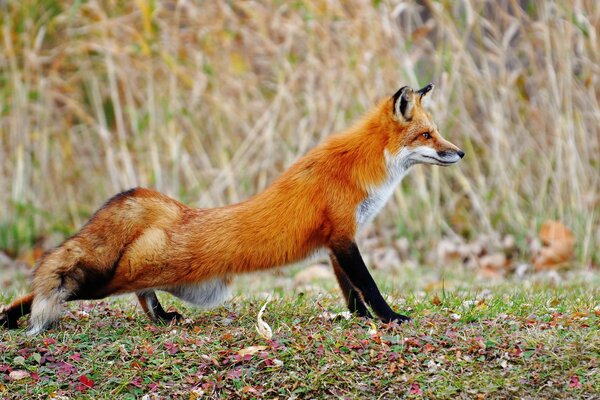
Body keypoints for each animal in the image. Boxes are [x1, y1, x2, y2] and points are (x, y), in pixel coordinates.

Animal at [0, 84, 464, 334]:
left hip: (148, 274)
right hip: (113, 279)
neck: (361, 168)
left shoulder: (335, 242)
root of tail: (173, 211)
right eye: (427, 135)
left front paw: (356, 319)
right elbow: (368, 285)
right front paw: (389, 318)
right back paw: (10, 316)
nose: (459, 152)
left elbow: (351, 292)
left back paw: (161, 318)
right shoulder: (343, 236)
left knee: (139, 293)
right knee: (64, 286)